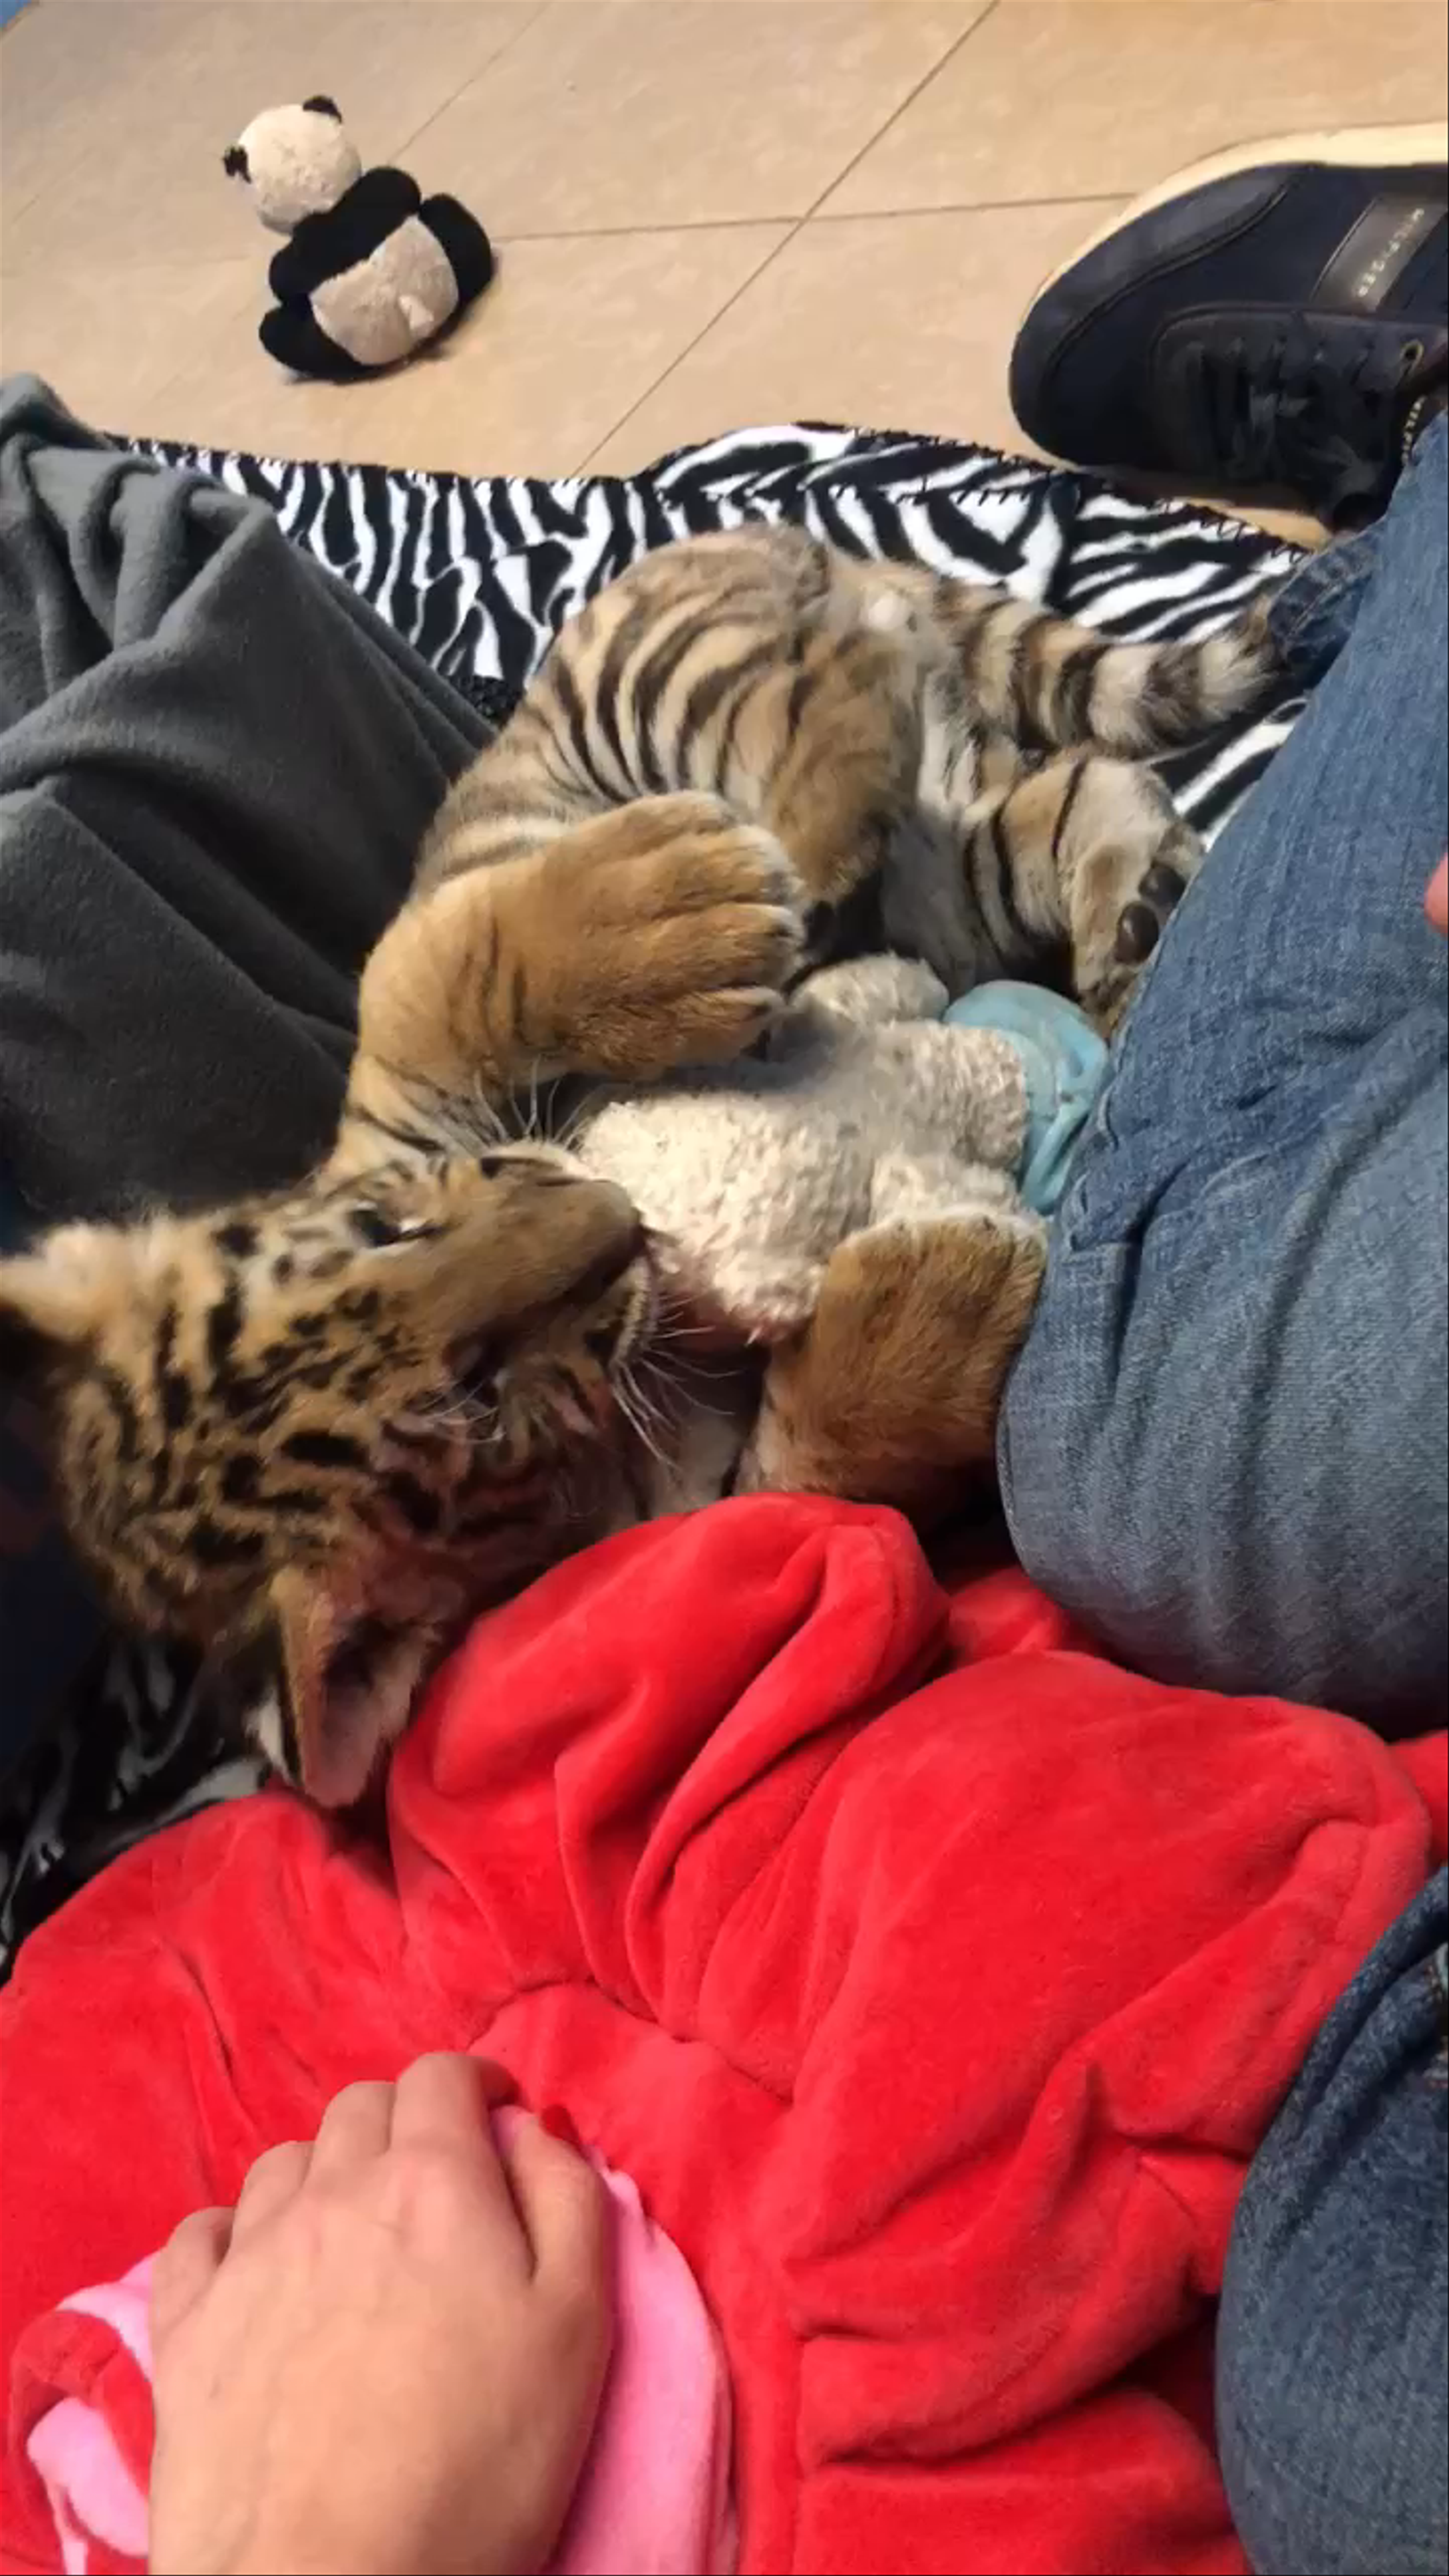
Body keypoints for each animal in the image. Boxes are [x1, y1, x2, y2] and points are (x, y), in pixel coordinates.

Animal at [0, 527, 1281, 1809]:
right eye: (481, 1402)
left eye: (388, 1231)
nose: (619, 1217)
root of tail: (782, 537)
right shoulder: (687, 1512)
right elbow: (803, 1479)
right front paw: (941, 1303)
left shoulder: (403, 1045)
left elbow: (466, 963)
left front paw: (677, 921)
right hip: (958, 877)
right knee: (1067, 784)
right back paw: (1124, 924)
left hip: (645, 680)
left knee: (837, 675)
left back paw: (799, 868)